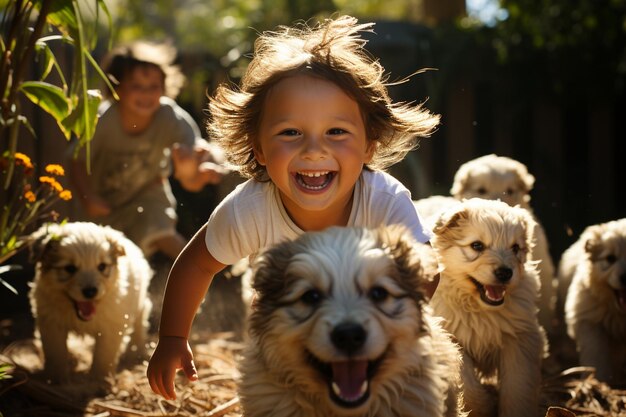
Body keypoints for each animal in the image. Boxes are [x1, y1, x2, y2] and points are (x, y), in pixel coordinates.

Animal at [28, 221, 154, 380]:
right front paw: (56, 378)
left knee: (140, 322)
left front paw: (99, 379)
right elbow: (56, 353)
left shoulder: (112, 326)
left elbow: (104, 356)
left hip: (139, 302)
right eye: (69, 268)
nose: (90, 292)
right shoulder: (51, 323)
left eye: (102, 266)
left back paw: (137, 351)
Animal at [426, 198, 544, 416]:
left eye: (515, 248)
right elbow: (467, 383)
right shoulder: (453, 337)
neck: (478, 308)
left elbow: (518, 385)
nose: (505, 272)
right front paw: (482, 407)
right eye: (477, 246)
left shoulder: (520, 339)